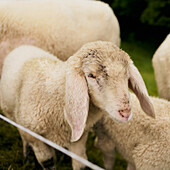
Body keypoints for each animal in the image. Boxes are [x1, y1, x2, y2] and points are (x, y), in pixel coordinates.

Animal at [0, 41, 155, 170]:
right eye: (91, 75)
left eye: (127, 75)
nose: (125, 112)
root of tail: (23, 46)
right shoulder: (35, 136)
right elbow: (47, 162)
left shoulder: (80, 137)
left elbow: (80, 164)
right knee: (24, 138)